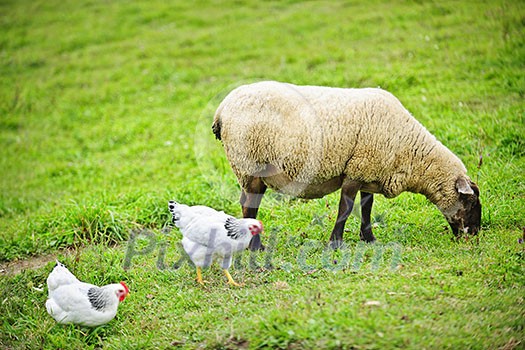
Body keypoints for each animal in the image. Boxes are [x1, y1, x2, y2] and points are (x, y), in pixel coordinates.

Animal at [211, 80, 482, 250]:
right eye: (470, 202)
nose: (476, 233)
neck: (409, 151)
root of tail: (222, 109)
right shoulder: (355, 171)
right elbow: (346, 208)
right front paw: (335, 243)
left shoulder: (369, 172)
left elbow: (366, 208)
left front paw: (369, 238)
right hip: (249, 165)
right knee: (249, 208)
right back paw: (257, 248)